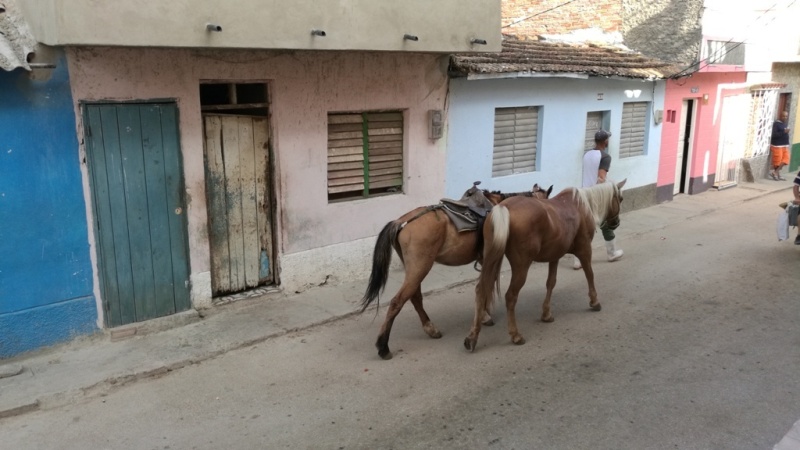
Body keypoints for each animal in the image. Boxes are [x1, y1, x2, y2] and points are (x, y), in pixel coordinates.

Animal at [360, 181, 552, 360]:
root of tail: (402, 222)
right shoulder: (491, 259)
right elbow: (487, 286)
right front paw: (485, 316)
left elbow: (484, 286)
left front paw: (484, 315)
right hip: (420, 267)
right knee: (397, 302)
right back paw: (383, 346)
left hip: (415, 268)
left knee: (415, 297)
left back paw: (430, 328)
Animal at [462, 179, 624, 352]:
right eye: (620, 199)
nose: (615, 223)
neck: (581, 205)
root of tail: (504, 208)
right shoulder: (585, 249)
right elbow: (589, 274)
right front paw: (594, 301)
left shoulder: (555, 255)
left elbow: (551, 283)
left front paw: (546, 313)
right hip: (521, 266)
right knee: (510, 296)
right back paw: (515, 335)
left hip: (491, 259)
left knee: (481, 291)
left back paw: (472, 336)